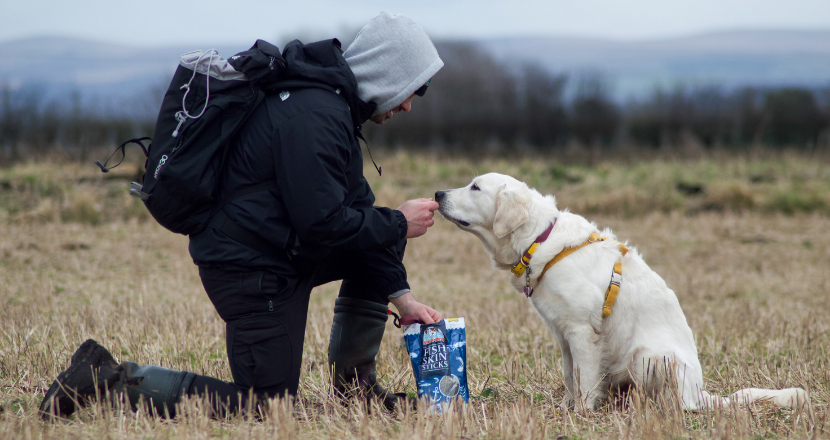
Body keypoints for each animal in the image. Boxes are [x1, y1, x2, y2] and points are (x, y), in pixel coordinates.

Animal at [438, 174, 808, 410]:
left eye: (475, 187)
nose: (439, 194)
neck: (539, 239)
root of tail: (701, 392)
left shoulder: (582, 331)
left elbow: (584, 379)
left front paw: (582, 413)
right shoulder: (563, 334)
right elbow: (570, 375)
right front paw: (565, 407)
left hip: (647, 357)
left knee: (682, 405)